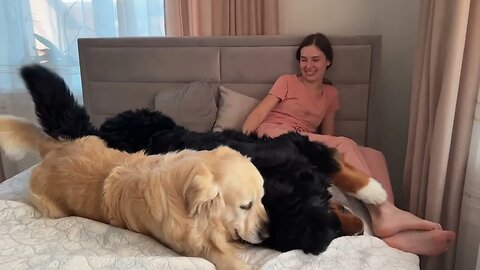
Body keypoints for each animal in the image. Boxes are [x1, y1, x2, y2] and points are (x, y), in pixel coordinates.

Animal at [0, 115, 270, 268]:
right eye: (245, 205)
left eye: (262, 199)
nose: (268, 233)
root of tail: (53, 148)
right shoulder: (191, 248)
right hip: (53, 209)